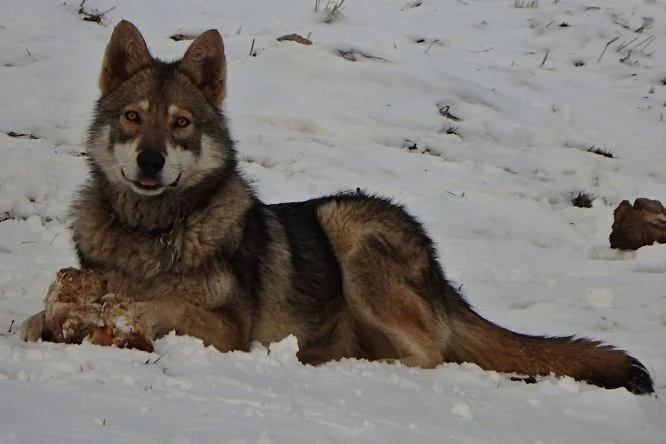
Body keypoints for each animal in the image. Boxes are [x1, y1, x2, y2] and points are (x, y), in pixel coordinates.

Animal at [21, 20, 653, 395]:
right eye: (133, 117)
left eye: (180, 123)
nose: (150, 162)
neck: (154, 232)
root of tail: (441, 274)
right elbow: (35, 318)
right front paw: (52, 321)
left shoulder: (227, 329)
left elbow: (157, 305)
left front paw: (121, 310)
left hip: (346, 222)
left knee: (430, 356)